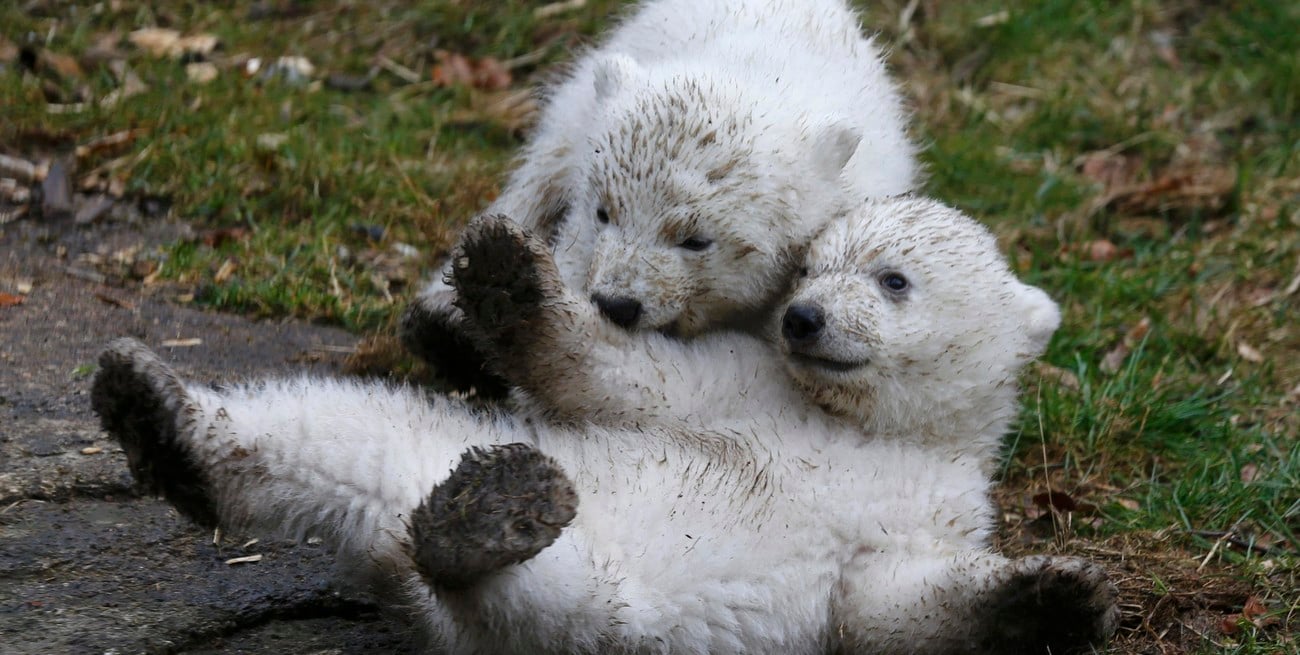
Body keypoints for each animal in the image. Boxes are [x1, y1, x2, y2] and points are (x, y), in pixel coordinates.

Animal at [91, 201, 1115, 654]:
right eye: (807, 268)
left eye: (894, 278)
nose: (804, 319)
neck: (871, 427)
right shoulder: (742, 382)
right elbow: (622, 379)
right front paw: (508, 278)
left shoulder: (942, 504)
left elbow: (885, 601)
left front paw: (1055, 594)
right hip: (444, 457)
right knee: (344, 427)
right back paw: (159, 415)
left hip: (610, 612)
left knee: (561, 603)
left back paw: (478, 520)